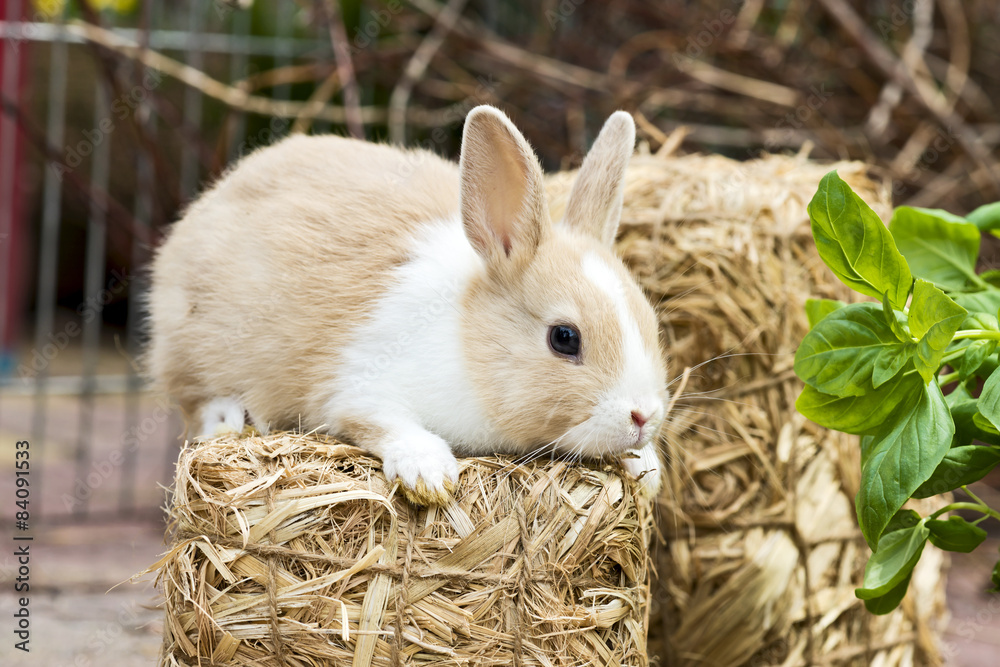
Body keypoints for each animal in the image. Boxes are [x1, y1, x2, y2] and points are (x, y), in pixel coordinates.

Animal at [146, 105, 668, 505]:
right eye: (564, 338)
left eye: (651, 323)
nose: (643, 417)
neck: (468, 340)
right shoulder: (359, 390)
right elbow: (383, 423)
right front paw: (430, 474)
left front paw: (649, 470)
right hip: (193, 350)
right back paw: (229, 419)